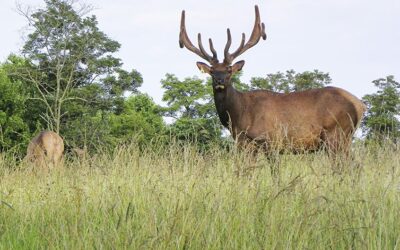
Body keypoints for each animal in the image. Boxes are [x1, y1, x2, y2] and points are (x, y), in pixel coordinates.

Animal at [180, 5, 368, 154]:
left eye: (229, 71)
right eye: (212, 71)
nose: (219, 81)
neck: (240, 116)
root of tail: (360, 105)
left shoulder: (272, 140)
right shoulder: (244, 144)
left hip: (337, 134)